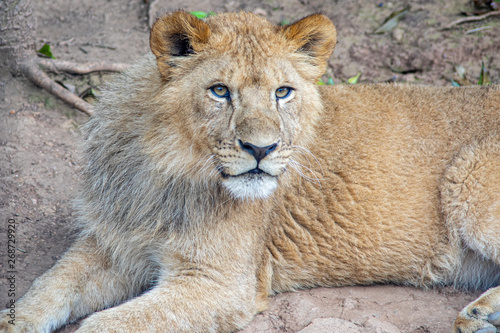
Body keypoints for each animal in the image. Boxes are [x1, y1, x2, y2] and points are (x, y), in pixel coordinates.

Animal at [0, 10, 500, 332]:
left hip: (470, 182)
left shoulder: (222, 283)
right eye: (220, 91)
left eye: (283, 92)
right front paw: (15, 320)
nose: (262, 149)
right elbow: (46, 288)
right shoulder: (113, 242)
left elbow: (107, 325)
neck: (166, 170)